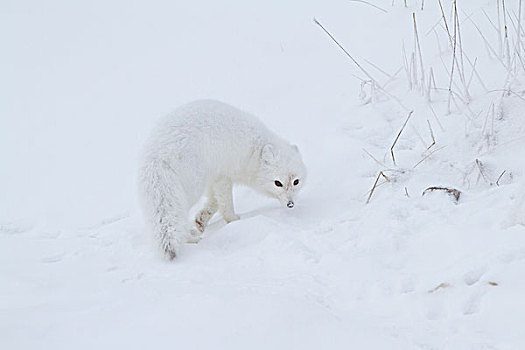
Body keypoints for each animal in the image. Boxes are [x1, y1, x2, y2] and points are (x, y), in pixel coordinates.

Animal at [138, 100, 308, 258]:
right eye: (278, 183)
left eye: (296, 182)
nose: (291, 204)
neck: (253, 150)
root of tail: (157, 154)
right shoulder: (223, 176)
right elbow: (225, 204)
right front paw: (234, 220)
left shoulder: (213, 177)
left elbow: (214, 202)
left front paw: (201, 219)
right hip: (192, 187)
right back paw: (190, 239)